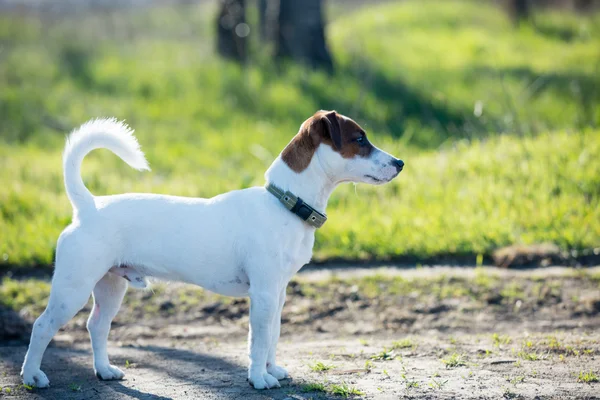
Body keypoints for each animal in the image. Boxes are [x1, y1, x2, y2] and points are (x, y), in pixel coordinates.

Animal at [19, 108, 404, 388]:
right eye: (359, 139)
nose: (400, 163)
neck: (284, 204)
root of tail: (88, 206)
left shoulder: (278, 293)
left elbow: (272, 336)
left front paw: (272, 369)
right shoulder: (263, 294)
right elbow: (258, 340)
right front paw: (259, 379)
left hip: (111, 285)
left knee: (96, 326)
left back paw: (105, 370)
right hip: (73, 287)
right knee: (42, 326)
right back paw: (32, 376)